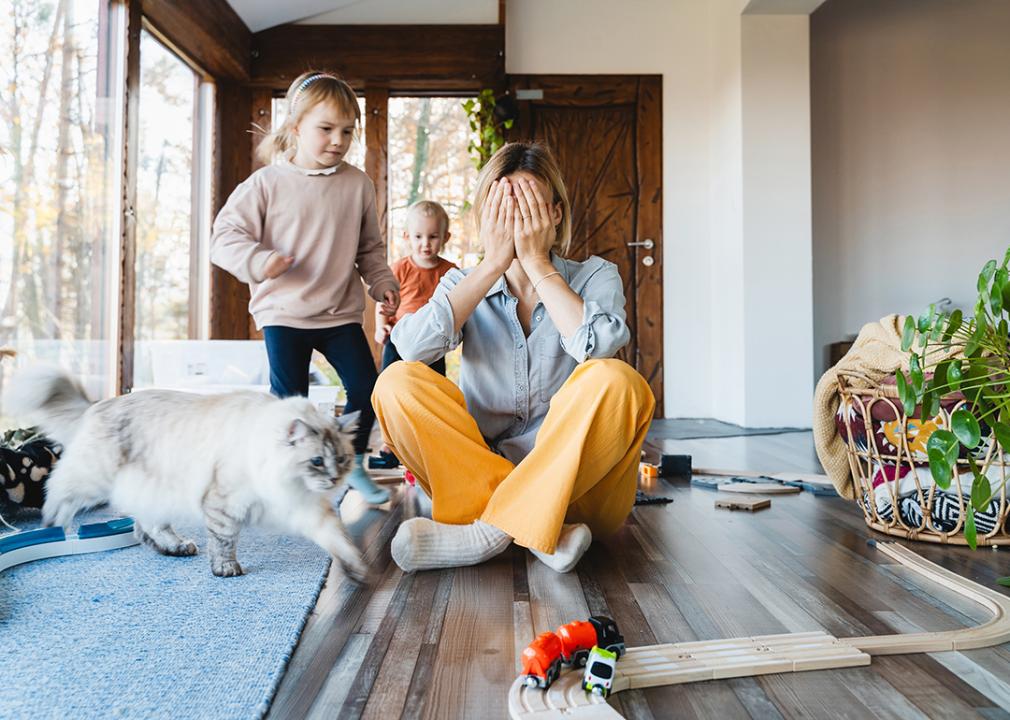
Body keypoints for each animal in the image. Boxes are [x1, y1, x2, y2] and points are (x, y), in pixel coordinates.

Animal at [1, 367, 373, 581]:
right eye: (316, 461)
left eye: (341, 459)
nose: (334, 481)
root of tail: (101, 403)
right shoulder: (225, 505)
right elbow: (224, 541)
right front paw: (225, 570)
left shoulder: (307, 508)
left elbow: (337, 539)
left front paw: (357, 570)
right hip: (93, 477)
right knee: (59, 488)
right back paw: (55, 525)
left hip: (155, 493)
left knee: (144, 528)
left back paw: (175, 547)